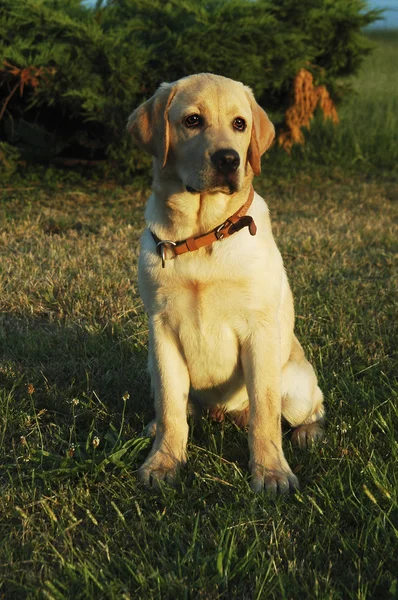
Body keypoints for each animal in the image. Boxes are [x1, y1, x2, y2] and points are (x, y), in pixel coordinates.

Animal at [129, 74, 324, 492]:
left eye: (239, 124)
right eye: (192, 120)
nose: (228, 159)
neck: (203, 234)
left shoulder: (258, 330)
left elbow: (265, 412)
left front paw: (271, 472)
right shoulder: (162, 330)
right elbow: (170, 407)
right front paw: (164, 461)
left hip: (298, 383)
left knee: (306, 408)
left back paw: (307, 433)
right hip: (152, 362)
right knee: (179, 406)